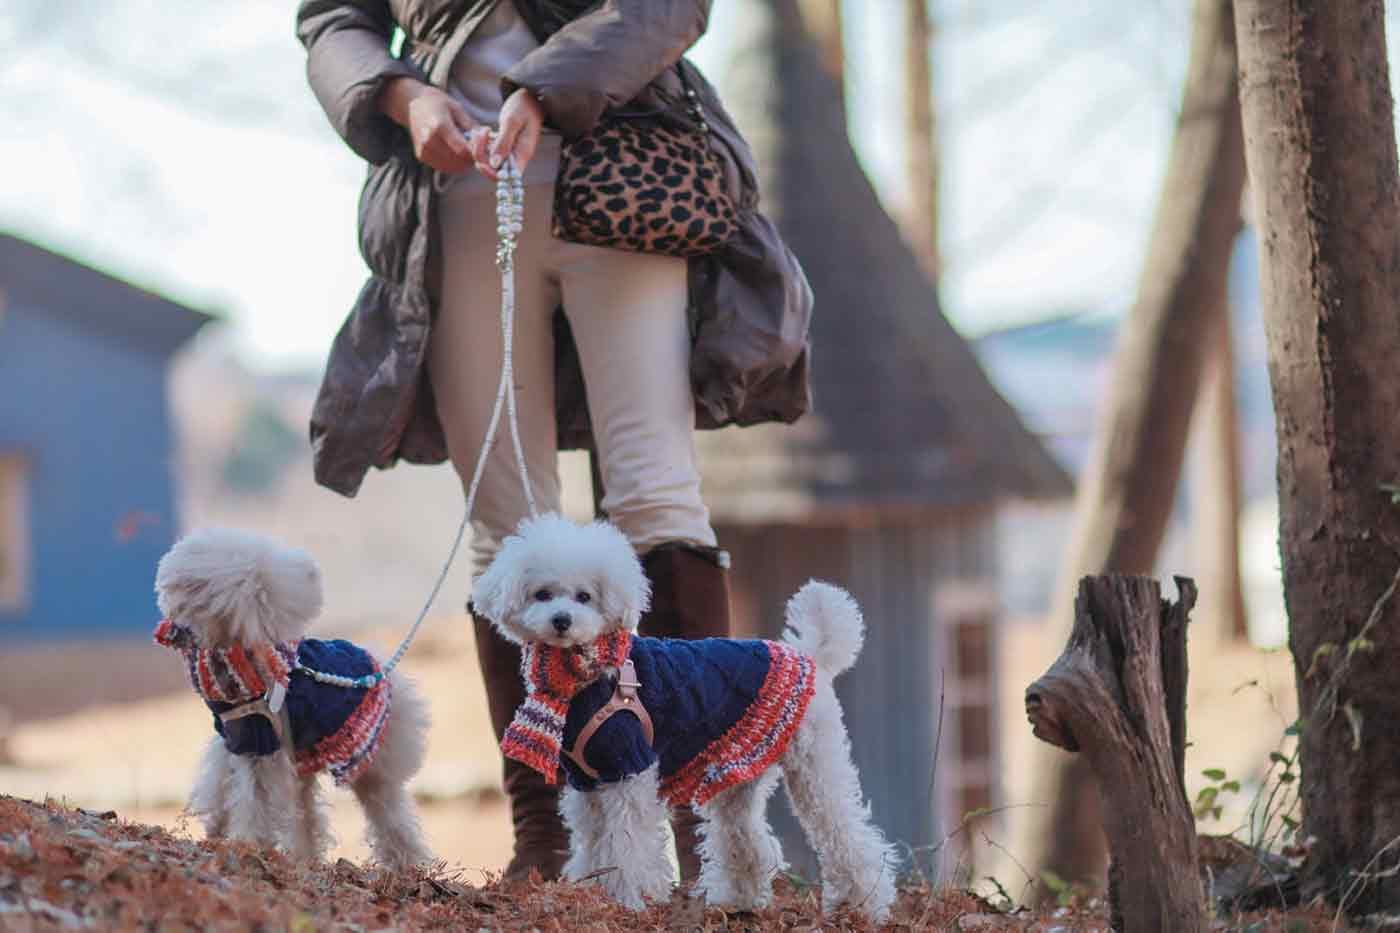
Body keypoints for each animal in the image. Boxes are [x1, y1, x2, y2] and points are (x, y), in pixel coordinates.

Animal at [153, 526, 431, 868]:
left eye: (195, 592)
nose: (173, 622)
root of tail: (381, 668)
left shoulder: (260, 744)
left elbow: (255, 797)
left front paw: (247, 842)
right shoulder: (234, 736)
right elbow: (220, 781)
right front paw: (218, 827)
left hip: (368, 756)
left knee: (388, 814)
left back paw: (407, 865)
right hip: (305, 755)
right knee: (308, 812)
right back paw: (305, 857)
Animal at [473, 512, 896, 918]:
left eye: (584, 596)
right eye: (542, 594)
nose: (562, 619)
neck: (584, 679)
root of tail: (811, 658)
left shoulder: (629, 768)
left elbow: (627, 843)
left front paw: (630, 897)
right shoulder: (587, 781)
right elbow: (592, 840)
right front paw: (593, 889)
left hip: (814, 765)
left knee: (848, 836)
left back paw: (864, 907)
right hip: (737, 775)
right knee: (749, 841)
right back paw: (737, 901)